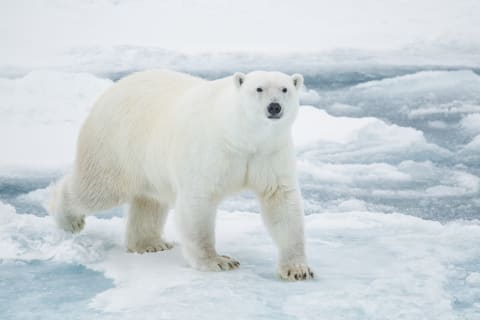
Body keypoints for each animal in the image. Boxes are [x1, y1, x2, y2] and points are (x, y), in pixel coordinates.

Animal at [47, 70, 312, 280]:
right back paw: (68, 219)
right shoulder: (211, 151)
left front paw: (297, 269)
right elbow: (198, 203)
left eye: (285, 89)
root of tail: (110, 91)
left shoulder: (269, 153)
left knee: (149, 201)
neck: (241, 136)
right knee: (97, 189)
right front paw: (218, 261)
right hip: (115, 146)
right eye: (259, 88)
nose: (274, 107)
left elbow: (281, 202)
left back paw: (150, 244)